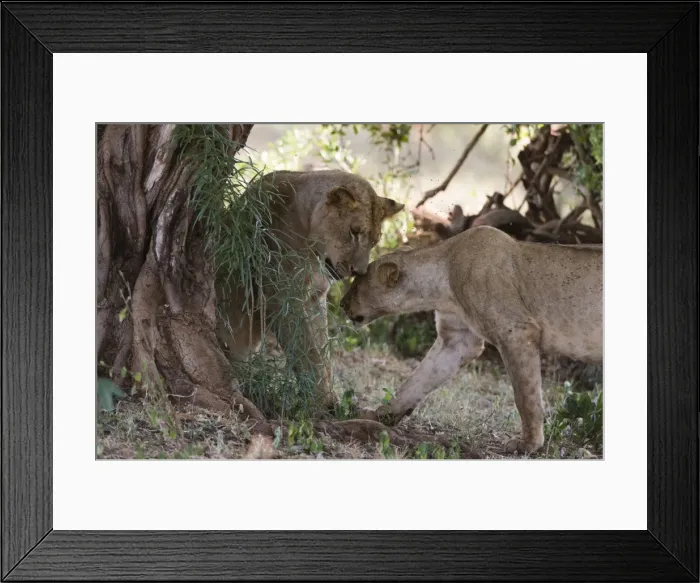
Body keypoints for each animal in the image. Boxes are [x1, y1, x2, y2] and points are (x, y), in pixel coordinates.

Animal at [215, 169, 404, 410]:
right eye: (354, 232)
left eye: (375, 240)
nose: (359, 271)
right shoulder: (280, 295)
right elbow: (307, 350)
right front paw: (321, 401)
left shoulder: (316, 297)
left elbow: (323, 351)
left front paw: (332, 397)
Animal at [339, 225, 602, 454]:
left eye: (356, 284)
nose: (341, 304)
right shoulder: (457, 341)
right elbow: (417, 379)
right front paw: (380, 414)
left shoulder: (516, 331)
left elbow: (525, 397)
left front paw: (528, 444)